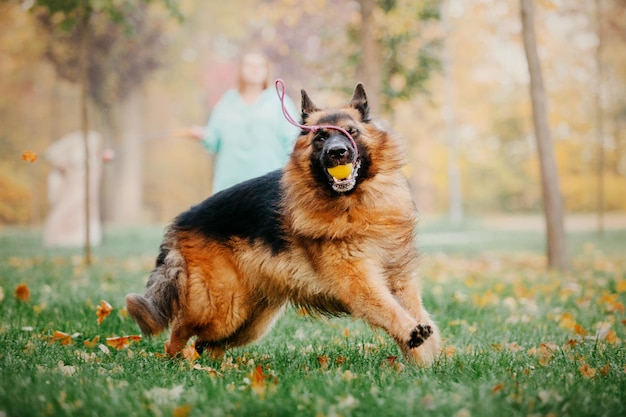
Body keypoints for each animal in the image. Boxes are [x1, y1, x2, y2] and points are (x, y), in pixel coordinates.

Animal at [124, 83, 442, 364]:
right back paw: (176, 362)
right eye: (320, 138)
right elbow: (388, 309)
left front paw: (426, 364)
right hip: (222, 308)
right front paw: (411, 332)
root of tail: (181, 220)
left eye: (351, 132)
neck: (355, 204)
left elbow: (417, 317)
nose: (337, 152)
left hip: (249, 321)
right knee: (180, 331)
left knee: (207, 344)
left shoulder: (400, 281)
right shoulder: (359, 283)